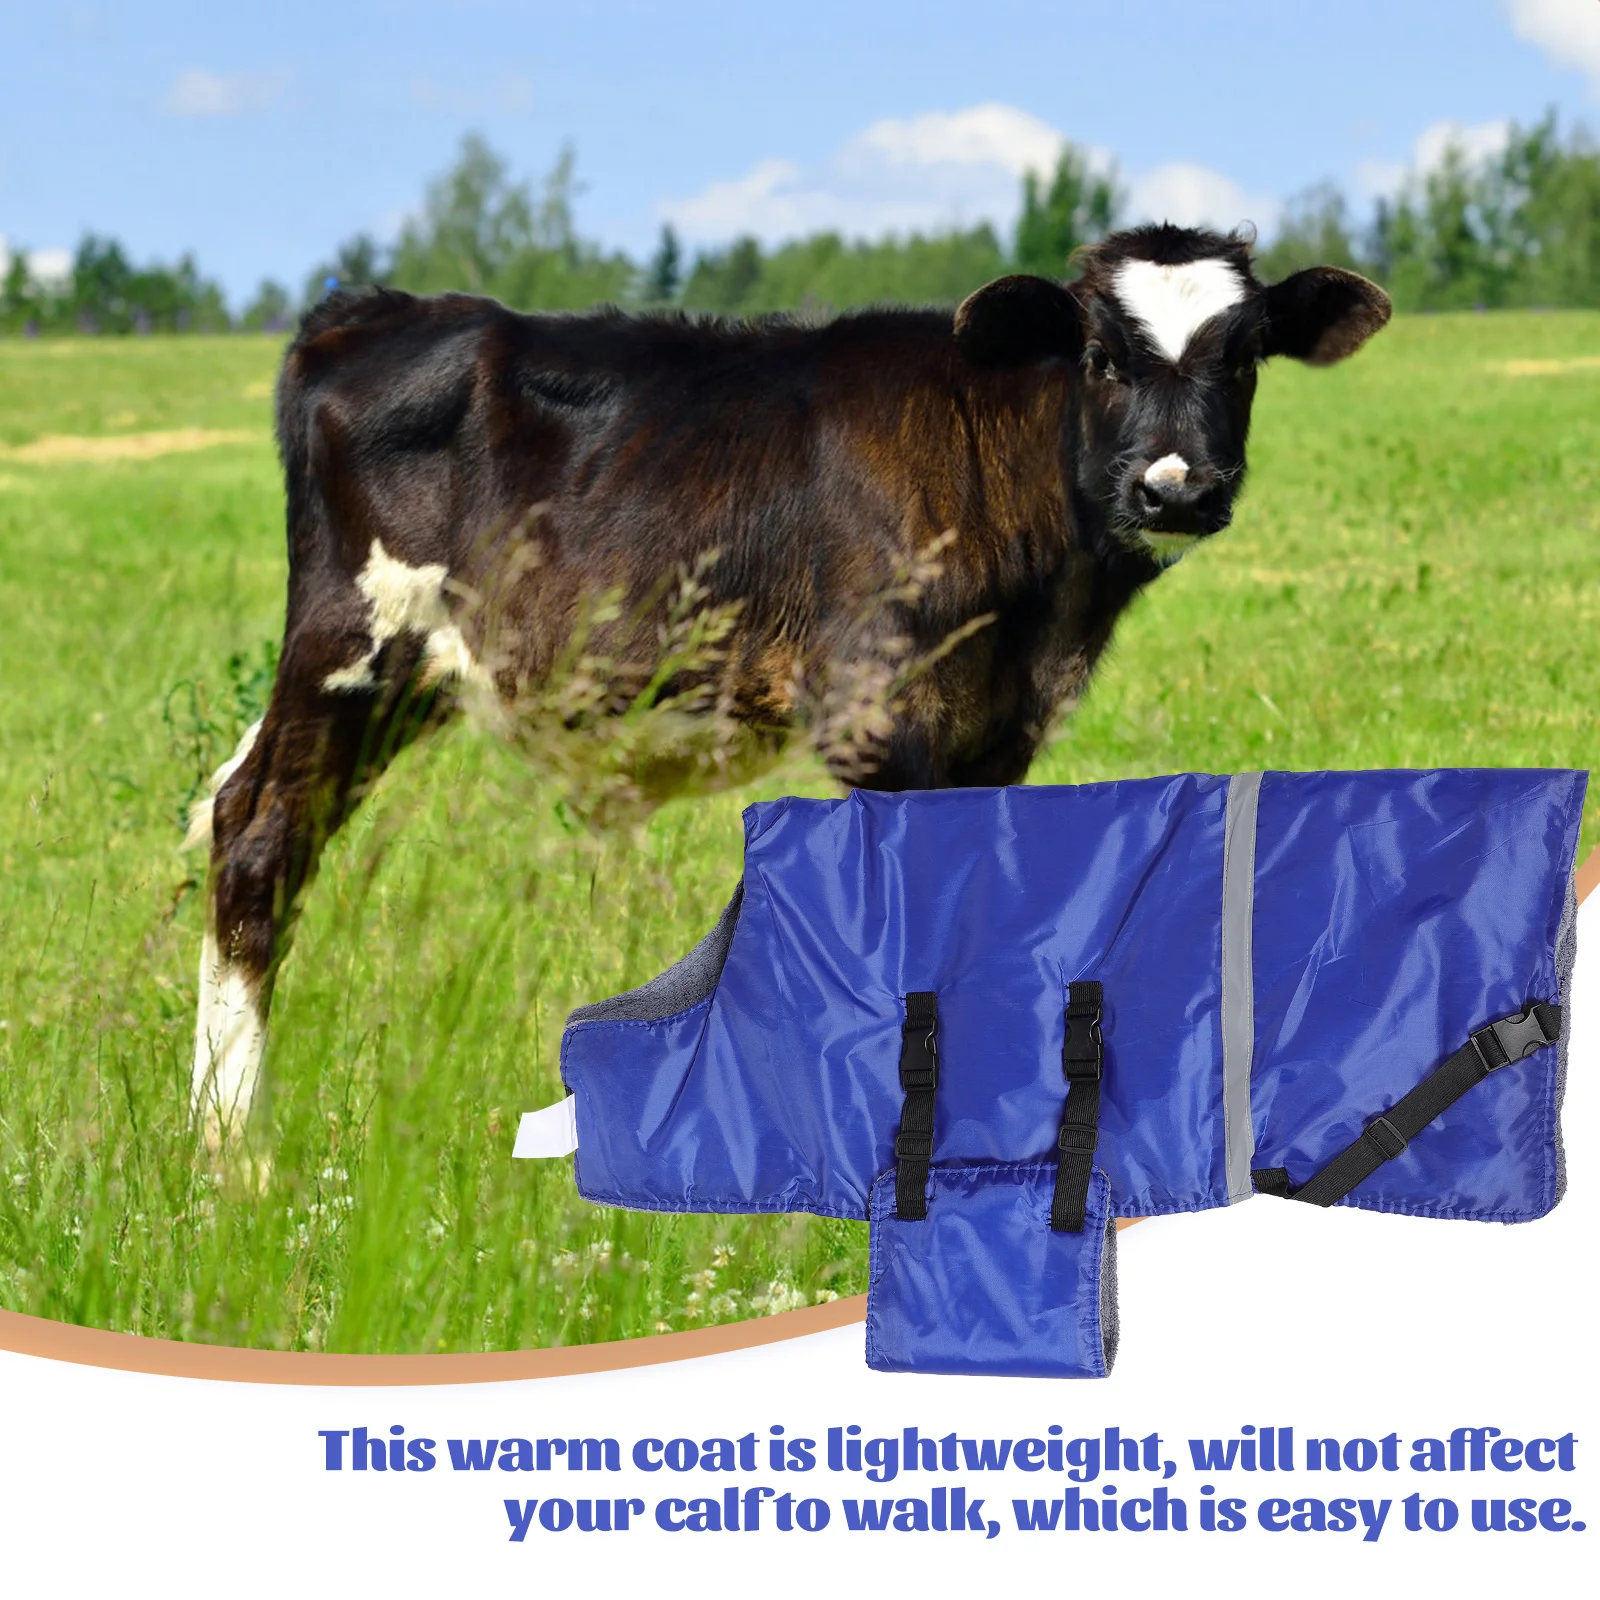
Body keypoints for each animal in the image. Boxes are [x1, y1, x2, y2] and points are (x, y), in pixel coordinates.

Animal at [187, 223, 1390, 1151]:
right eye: (1098, 354)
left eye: (1246, 356)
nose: (1175, 486)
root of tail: (372, 313)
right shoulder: (875, 718)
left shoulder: (990, 735)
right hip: (352, 646)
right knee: (259, 833)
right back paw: (234, 1158)